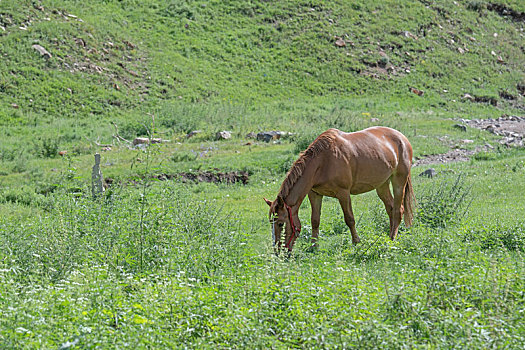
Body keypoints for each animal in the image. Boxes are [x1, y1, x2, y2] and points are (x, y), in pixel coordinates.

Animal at [264, 127, 416, 253]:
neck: (323, 162)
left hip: (399, 181)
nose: (278, 252)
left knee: (398, 210)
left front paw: (356, 243)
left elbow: (350, 219)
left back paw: (392, 239)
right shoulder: (314, 194)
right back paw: (388, 238)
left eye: (280, 223)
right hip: (382, 185)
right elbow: (315, 220)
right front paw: (314, 247)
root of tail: (402, 138)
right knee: (390, 208)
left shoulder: (343, 193)